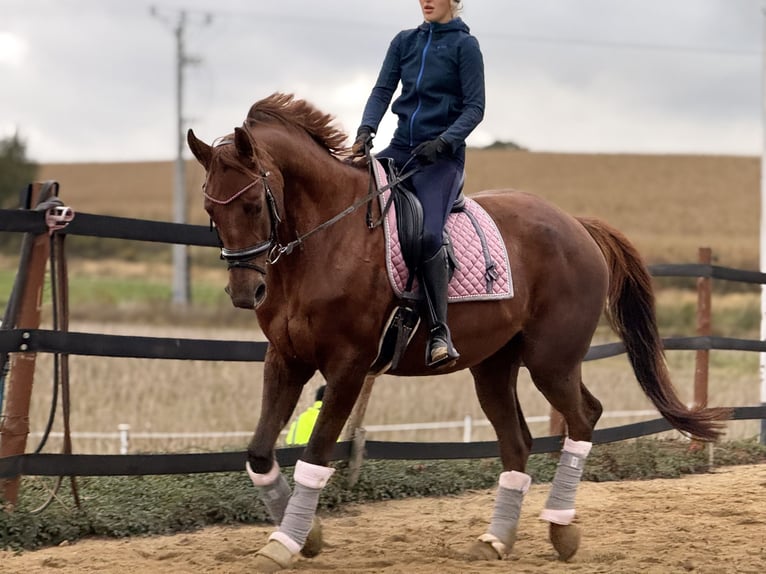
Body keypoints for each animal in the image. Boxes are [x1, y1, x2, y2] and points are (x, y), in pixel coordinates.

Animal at [187, 92, 729, 572]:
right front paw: (307, 535)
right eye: (212, 213)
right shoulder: (286, 358)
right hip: (494, 366)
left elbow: (317, 455)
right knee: (519, 441)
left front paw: (287, 542)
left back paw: (561, 528)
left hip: (551, 361)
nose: (246, 293)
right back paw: (496, 540)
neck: (327, 240)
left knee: (582, 418)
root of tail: (575, 225)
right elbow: (259, 452)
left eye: (254, 205)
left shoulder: (348, 367)